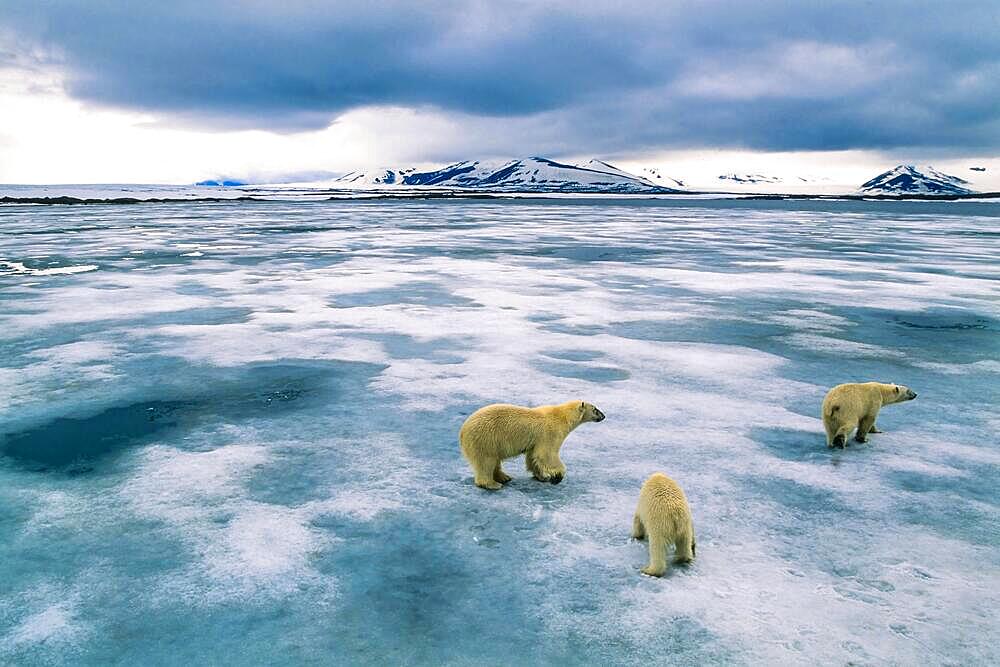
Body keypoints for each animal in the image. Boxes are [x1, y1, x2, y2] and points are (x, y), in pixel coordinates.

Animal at [458, 402, 604, 490]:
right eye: (595, 409)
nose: (604, 416)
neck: (562, 417)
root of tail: (462, 431)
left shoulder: (536, 440)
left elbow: (533, 456)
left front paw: (542, 477)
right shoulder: (550, 433)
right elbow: (547, 454)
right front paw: (557, 476)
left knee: (494, 461)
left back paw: (504, 477)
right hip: (485, 439)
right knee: (486, 462)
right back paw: (492, 484)